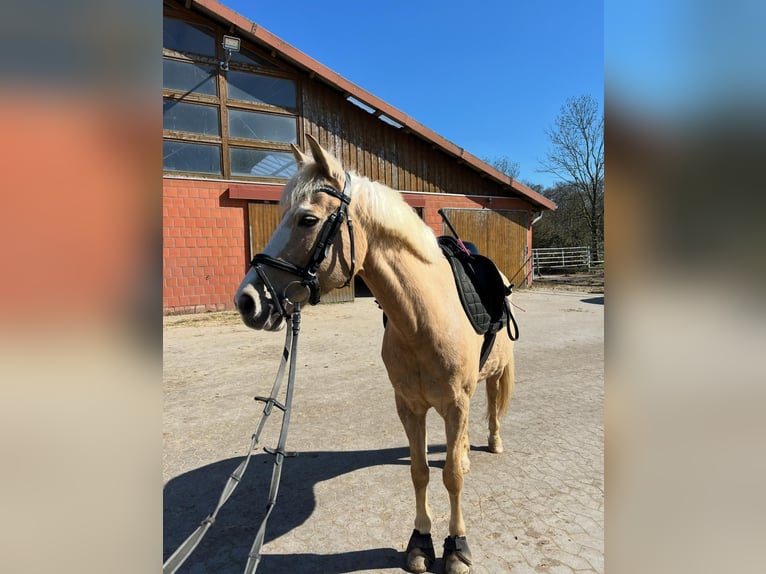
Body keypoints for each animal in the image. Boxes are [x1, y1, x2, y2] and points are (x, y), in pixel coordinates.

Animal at [235, 135, 515, 574]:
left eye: (307, 220)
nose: (247, 300)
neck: (424, 319)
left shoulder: (455, 403)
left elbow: (452, 476)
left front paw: (456, 548)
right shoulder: (409, 406)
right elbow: (419, 472)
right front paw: (420, 542)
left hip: (494, 375)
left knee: (490, 407)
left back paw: (493, 442)